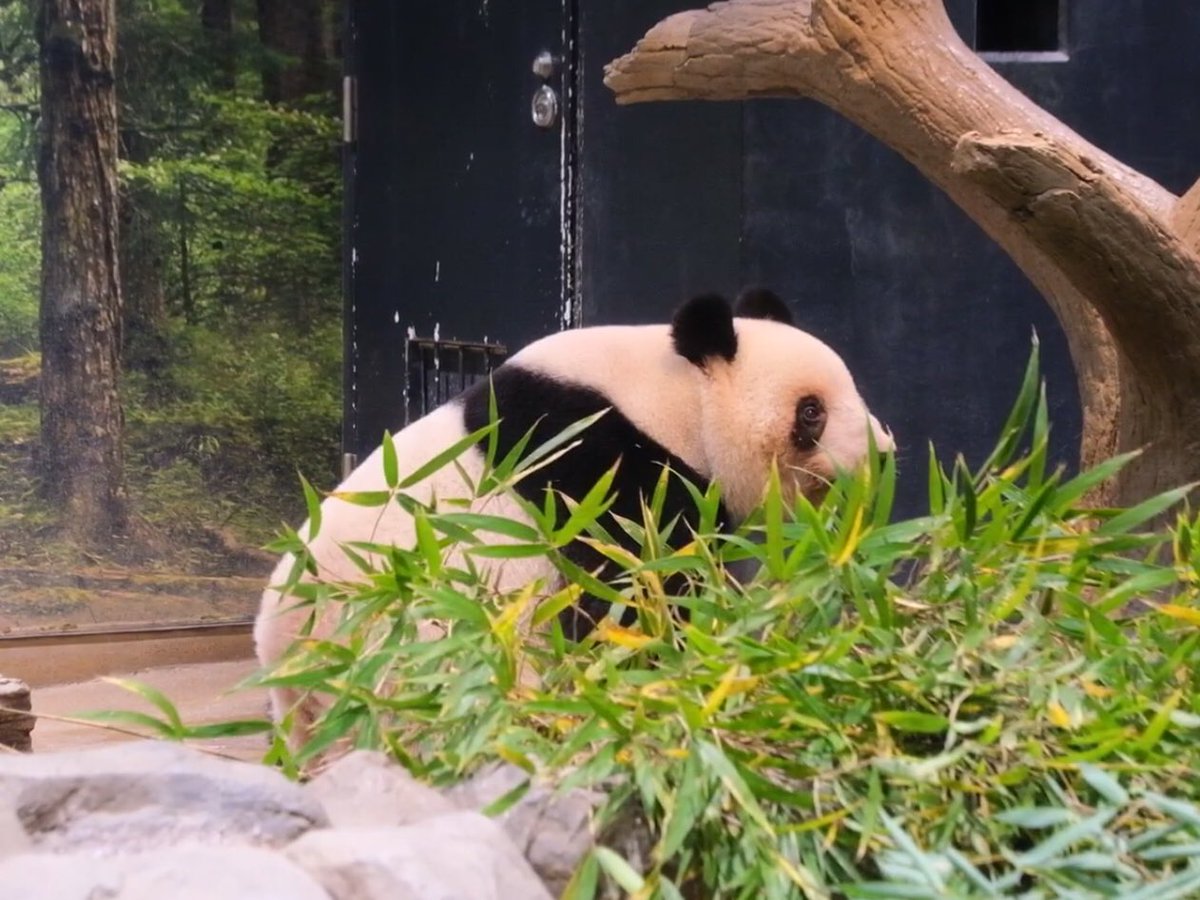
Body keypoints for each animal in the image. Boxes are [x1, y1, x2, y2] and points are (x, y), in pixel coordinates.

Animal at [254, 288, 893, 744]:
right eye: (810, 412)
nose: (883, 454)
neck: (675, 400)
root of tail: (287, 666)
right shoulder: (594, 462)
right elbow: (632, 588)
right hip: (415, 653)